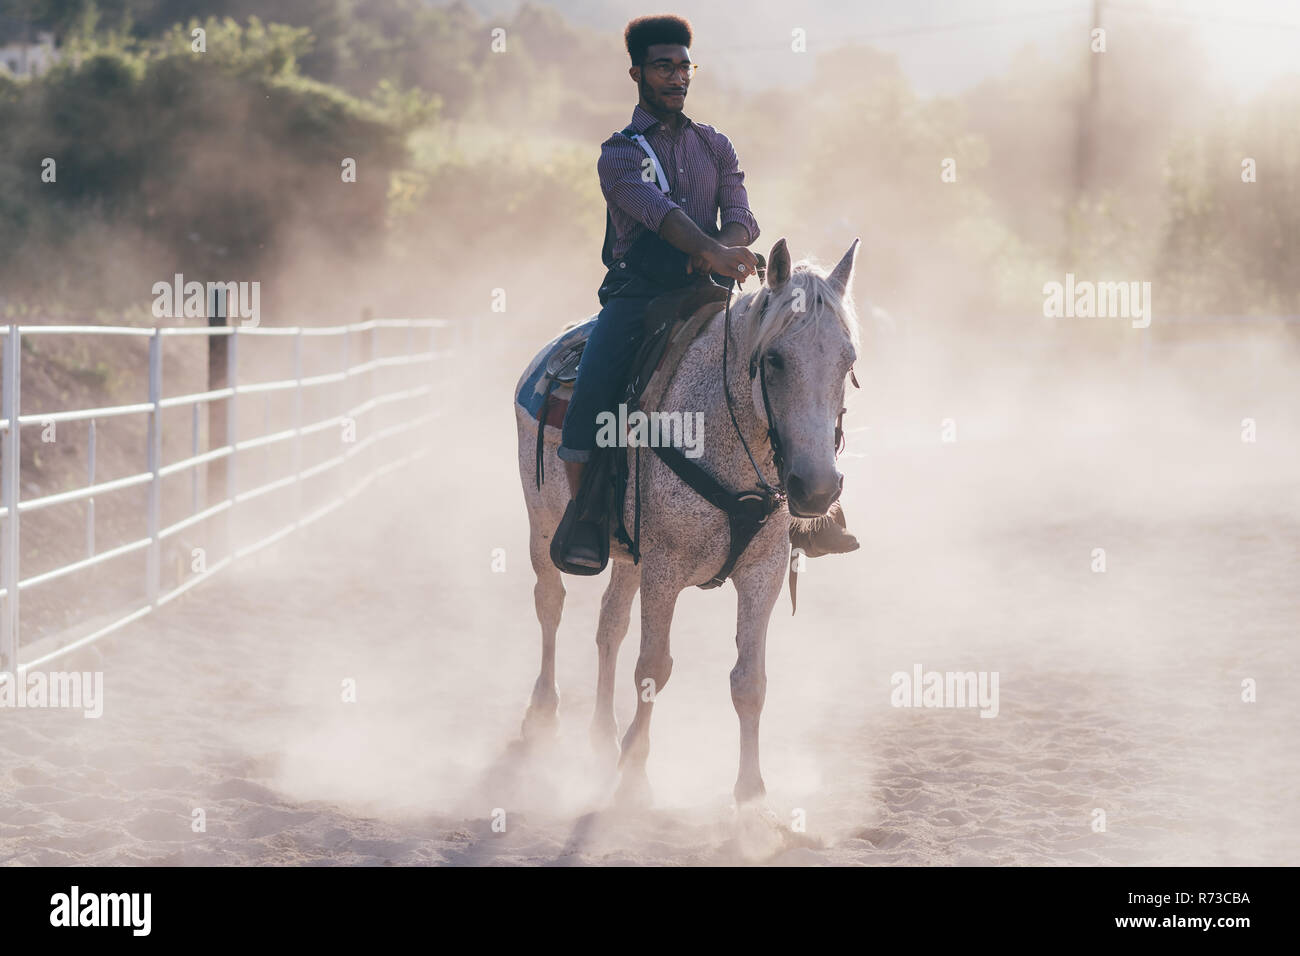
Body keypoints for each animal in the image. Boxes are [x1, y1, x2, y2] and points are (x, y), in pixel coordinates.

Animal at [509, 239, 863, 806]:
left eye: (848, 360)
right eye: (775, 359)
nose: (817, 488)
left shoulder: (762, 570)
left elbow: (749, 680)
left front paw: (750, 792)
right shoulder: (665, 569)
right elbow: (654, 667)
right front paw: (634, 773)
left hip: (627, 553)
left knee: (609, 624)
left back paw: (602, 734)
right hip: (541, 521)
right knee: (550, 603)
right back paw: (543, 714)